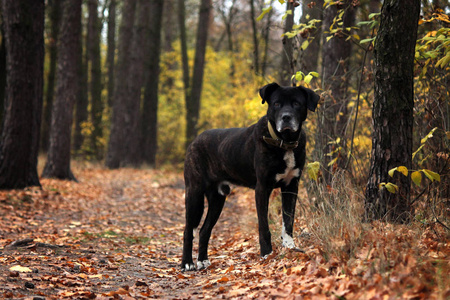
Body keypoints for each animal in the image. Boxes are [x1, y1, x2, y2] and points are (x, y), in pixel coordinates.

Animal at [181, 83, 318, 270]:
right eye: (276, 104)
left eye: (296, 103)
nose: (286, 117)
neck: (284, 142)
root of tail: (194, 141)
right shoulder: (262, 188)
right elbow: (264, 226)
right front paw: (266, 254)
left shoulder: (291, 186)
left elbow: (288, 220)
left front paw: (290, 246)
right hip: (194, 192)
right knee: (188, 230)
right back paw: (187, 263)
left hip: (218, 198)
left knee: (204, 230)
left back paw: (203, 260)